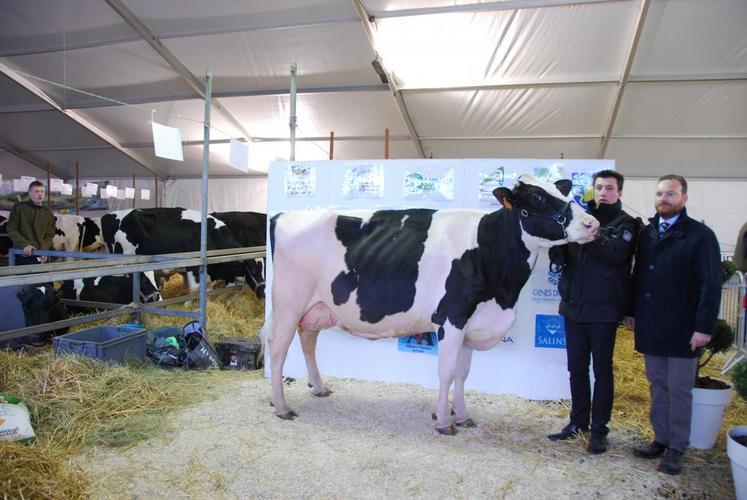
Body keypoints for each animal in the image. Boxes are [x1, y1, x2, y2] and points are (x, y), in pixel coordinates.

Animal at [102, 206, 266, 296]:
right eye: (253, 269)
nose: (264, 294)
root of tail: (108, 215)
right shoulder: (194, 266)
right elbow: (194, 289)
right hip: (119, 264)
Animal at [268, 175, 600, 434]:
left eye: (563, 191)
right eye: (537, 196)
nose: (592, 223)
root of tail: (284, 214)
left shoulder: (470, 323)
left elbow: (464, 373)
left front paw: (463, 416)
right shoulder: (452, 317)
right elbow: (447, 372)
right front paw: (443, 421)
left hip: (317, 306)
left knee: (308, 340)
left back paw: (318, 388)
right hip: (288, 301)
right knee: (278, 349)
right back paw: (281, 406)